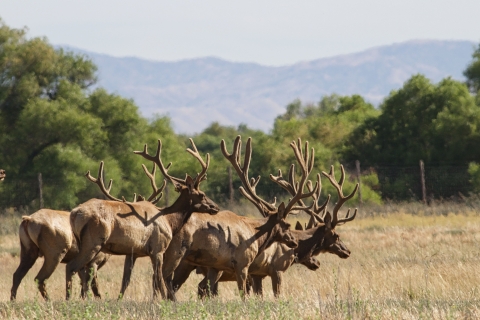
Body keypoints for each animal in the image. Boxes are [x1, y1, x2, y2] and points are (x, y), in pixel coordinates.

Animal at [65, 139, 219, 300]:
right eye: (202, 194)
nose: (215, 207)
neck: (170, 221)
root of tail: (74, 213)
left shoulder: (136, 252)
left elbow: (135, 279)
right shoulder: (158, 248)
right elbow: (159, 278)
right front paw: (164, 301)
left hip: (83, 243)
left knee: (80, 271)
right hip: (93, 241)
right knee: (72, 267)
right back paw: (69, 299)